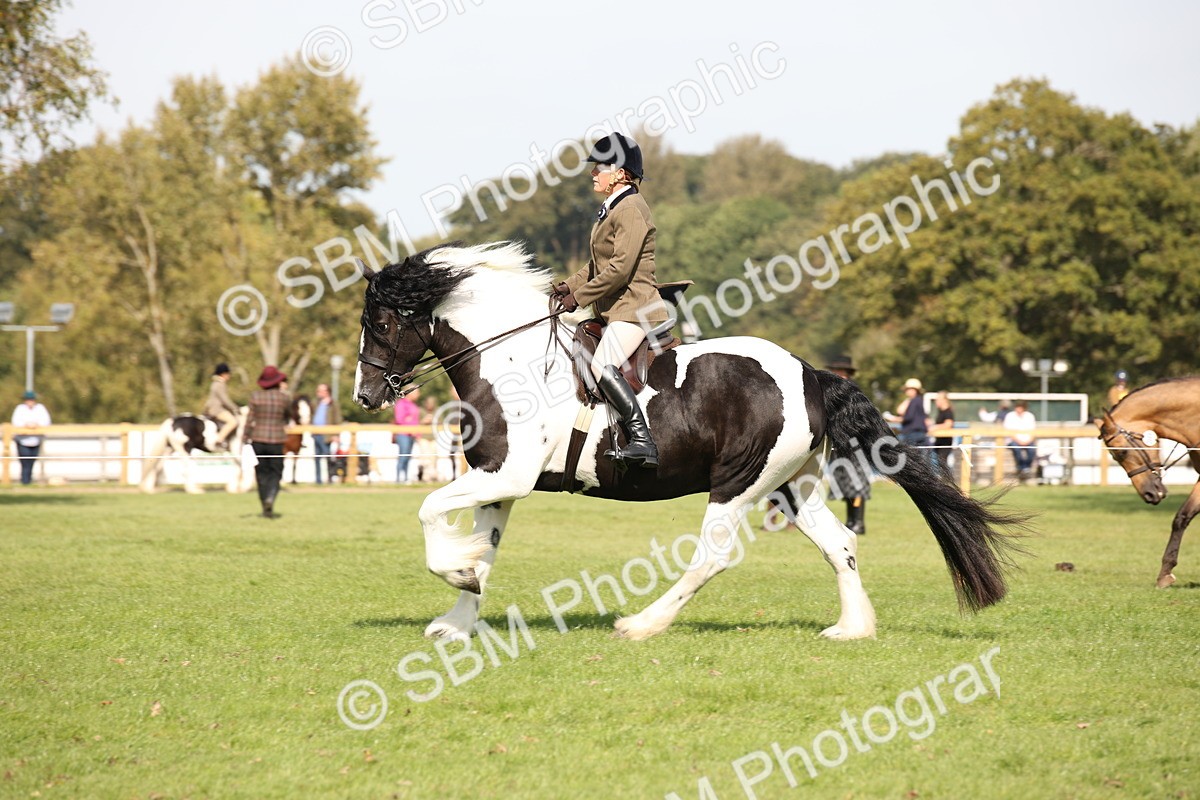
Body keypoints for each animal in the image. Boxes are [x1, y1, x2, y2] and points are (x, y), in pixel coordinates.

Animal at [353, 241, 1026, 642]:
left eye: (381, 323)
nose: (365, 395)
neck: (511, 359)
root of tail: (810, 373)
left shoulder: (506, 475)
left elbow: (429, 510)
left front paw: (455, 578)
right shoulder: (499, 482)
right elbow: (485, 552)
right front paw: (459, 612)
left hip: (738, 483)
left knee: (714, 557)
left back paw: (641, 624)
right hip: (790, 487)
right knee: (840, 544)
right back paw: (852, 628)